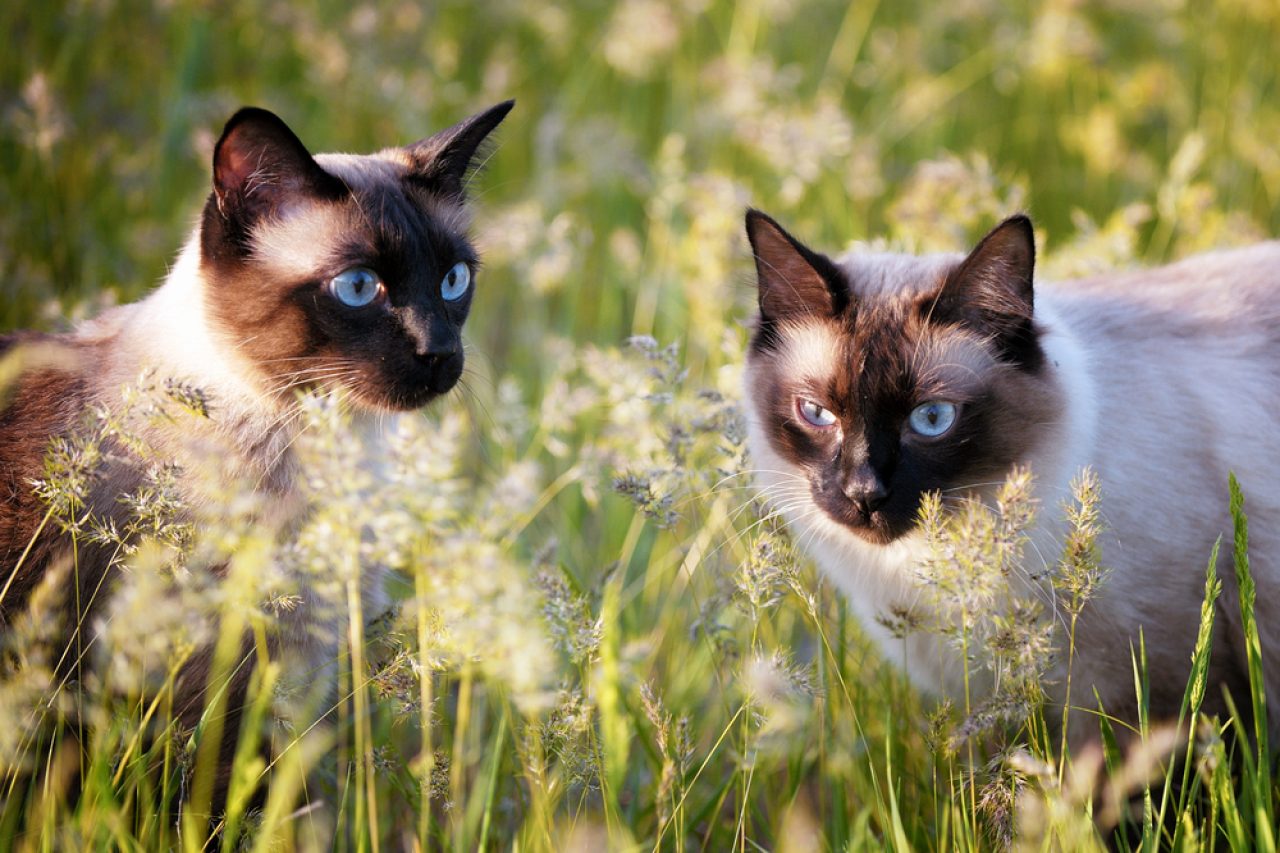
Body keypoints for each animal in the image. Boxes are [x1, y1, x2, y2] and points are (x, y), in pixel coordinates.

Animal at [1, 101, 509, 804]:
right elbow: (223, 809)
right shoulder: (213, 701)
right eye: (359, 287)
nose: (438, 353)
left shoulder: (290, 681)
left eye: (454, 280)